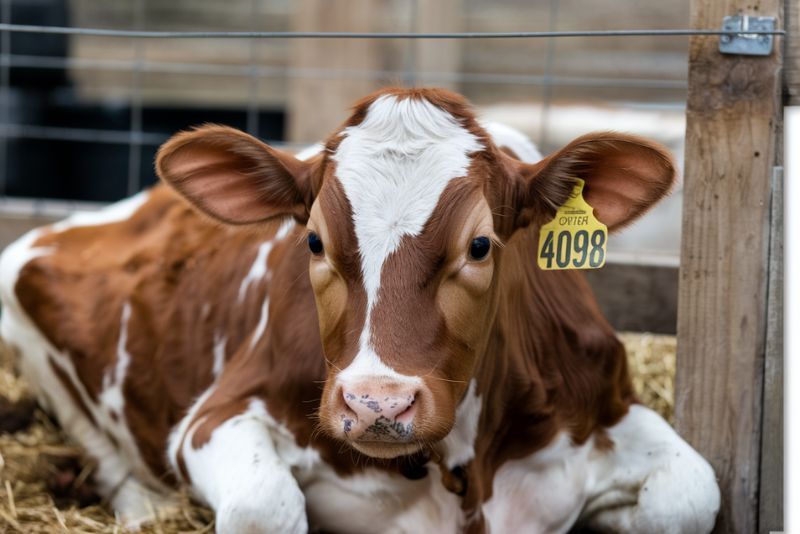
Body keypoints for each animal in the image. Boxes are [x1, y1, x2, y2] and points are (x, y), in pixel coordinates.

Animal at [0, 87, 720, 533]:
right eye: (314, 240)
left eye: (480, 244)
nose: (377, 404)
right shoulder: (216, 417)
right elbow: (265, 504)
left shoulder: (602, 403)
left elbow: (692, 492)